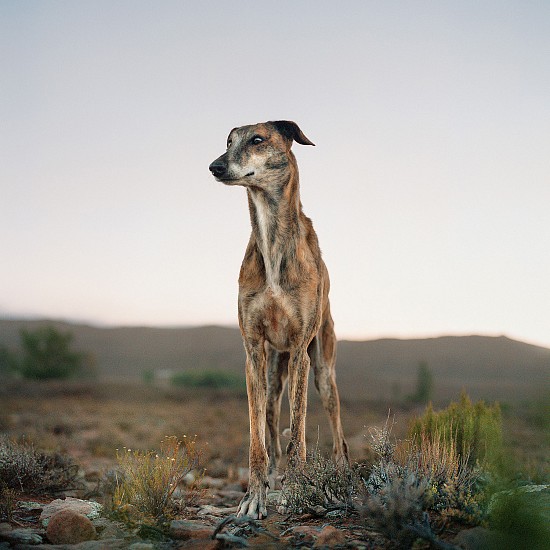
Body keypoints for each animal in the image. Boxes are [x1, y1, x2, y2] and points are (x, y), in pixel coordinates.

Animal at [209, 122, 352, 520]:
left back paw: (339, 478)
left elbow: (298, 432)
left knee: (337, 432)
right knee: (272, 425)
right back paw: (274, 477)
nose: (215, 167)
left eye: (257, 140)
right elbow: (258, 439)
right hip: (274, 373)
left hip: (322, 368)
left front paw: (296, 491)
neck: (272, 239)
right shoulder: (253, 351)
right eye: (229, 141)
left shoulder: (301, 350)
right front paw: (254, 496)